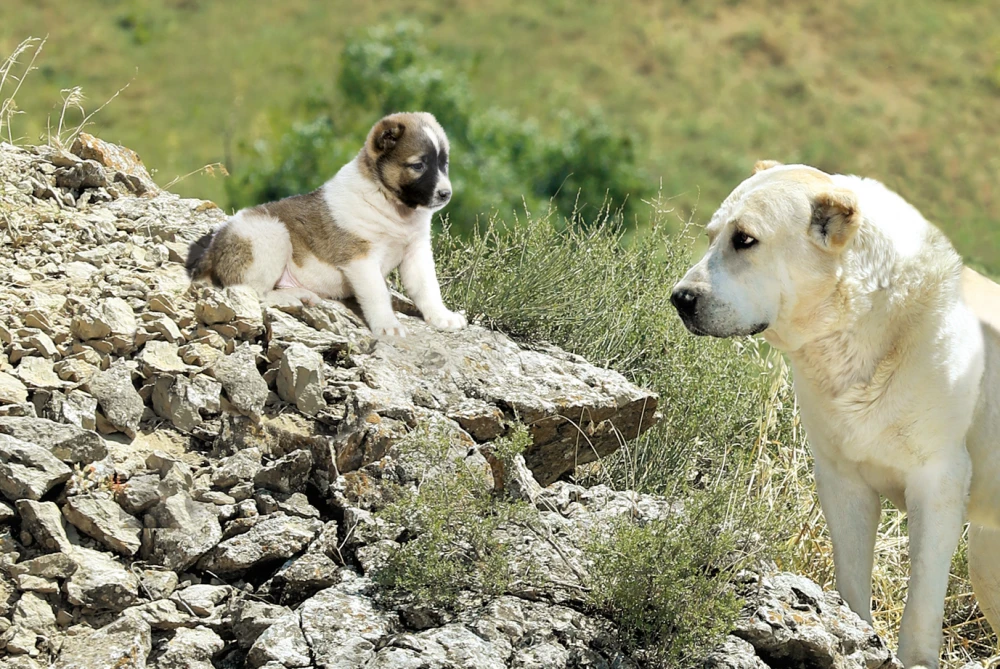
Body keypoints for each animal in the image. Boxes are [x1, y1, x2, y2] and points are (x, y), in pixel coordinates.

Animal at [186, 113, 466, 340]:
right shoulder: (360, 259)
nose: (446, 194)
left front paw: (442, 316)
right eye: (418, 165)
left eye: (444, 164)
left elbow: (427, 287)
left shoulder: (416, 252)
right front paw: (388, 325)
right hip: (271, 236)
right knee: (252, 291)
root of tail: (214, 246)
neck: (391, 204)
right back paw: (294, 296)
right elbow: (377, 293)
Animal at [672, 162, 1000, 668]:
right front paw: (856, 638)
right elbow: (851, 585)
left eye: (745, 240)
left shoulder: (938, 481)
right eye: (711, 237)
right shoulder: (842, 481)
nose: (680, 298)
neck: (865, 324)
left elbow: (920, 610)